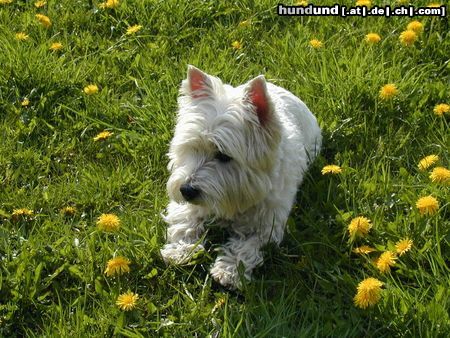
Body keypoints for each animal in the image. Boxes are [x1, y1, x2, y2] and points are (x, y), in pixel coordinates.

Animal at [160, 66, 322, 288]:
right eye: (192, 148)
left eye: (223, 155)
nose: (186, 190)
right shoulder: (188, 203)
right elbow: (185, 222)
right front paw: (180, 251)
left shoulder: (267, 224)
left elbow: (246, 247)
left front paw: (229, 271)